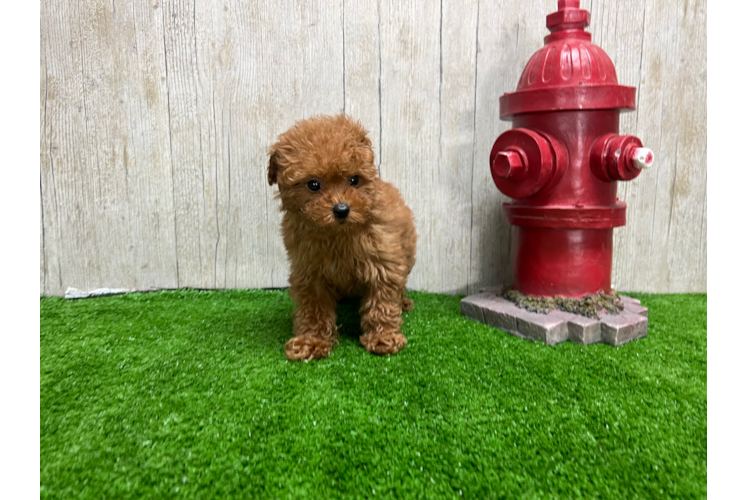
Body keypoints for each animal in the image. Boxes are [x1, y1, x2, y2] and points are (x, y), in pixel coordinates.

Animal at [268, 115, 418, 362]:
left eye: (354, 180)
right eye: (313, 184)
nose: (341, 209)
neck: (337, 233)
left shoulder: (383, 262)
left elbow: (383, 302)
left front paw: (383, 338)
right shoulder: (309, 273)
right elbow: (314, 310)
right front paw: (312, 341)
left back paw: (403, 302)